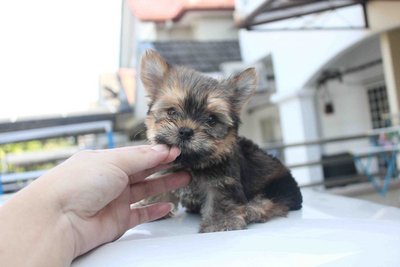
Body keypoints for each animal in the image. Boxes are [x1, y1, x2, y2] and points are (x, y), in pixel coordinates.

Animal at [140, 50, 300, 234]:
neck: (191, 163)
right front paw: (151, 206)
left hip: (280, 186)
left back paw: (251, 210)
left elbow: (220, 200)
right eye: (172, 112)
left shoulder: (223, 181)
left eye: (211, 120)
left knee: (271, 202)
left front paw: (220, 224)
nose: (185, 131)